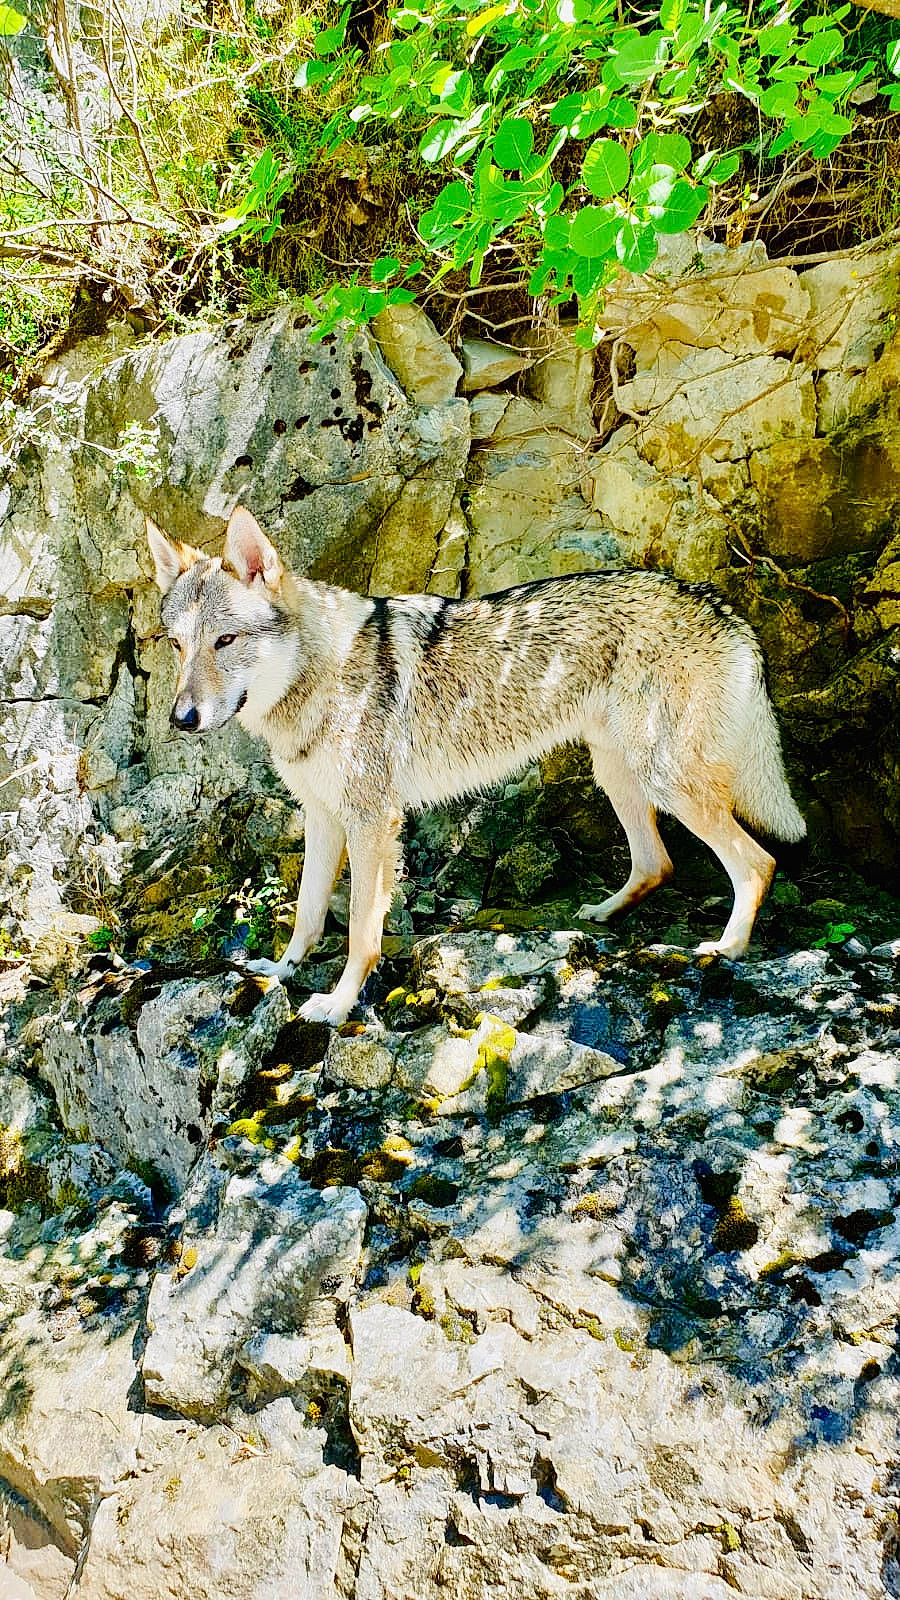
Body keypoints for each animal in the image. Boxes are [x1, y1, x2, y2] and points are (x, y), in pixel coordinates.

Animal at [147, 506, 805, 1024]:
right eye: (178, 645)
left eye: (225, 642)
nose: (181, 718)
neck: (317, 677)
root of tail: (721, 605)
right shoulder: (324, 817)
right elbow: (308, 914)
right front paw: (281, 973)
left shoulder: (371, 822)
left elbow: (360, 930)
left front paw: (338, 1004)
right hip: (619, 777)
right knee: (657, 864)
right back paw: (602, 915)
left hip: (664, 780)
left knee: (757, 863)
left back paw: (725, 950)